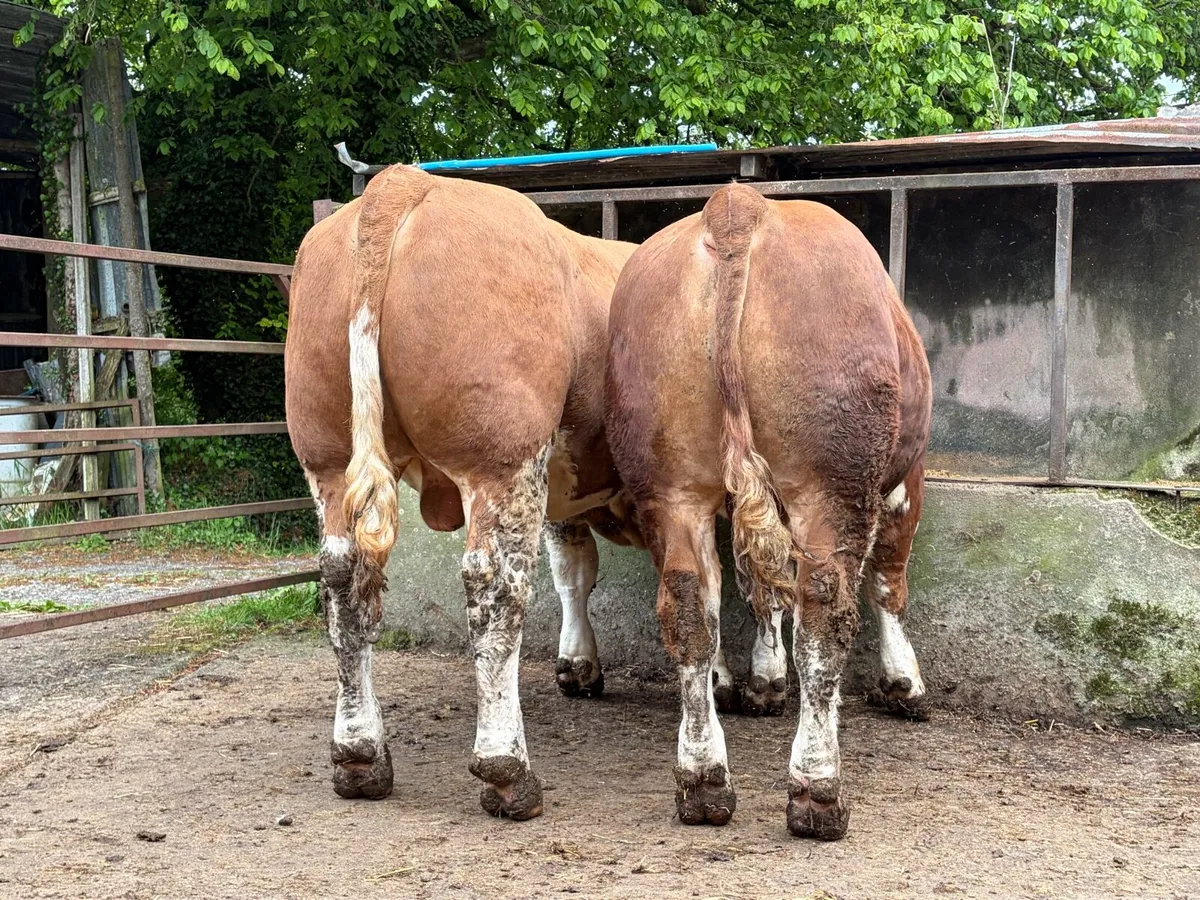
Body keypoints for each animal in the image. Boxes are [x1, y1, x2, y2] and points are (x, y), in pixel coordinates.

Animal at [285, 164, 641, 820]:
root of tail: (404, 183)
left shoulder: (563, 489)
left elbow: (574, 570)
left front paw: (579, 665)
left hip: (326, 457)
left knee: (342, 584)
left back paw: (360, 756)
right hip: (502, 457)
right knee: (495, 590)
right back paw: (507, 769)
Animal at [605, 182, 932, 840]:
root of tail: (737, 207)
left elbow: (762, 590)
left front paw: (763, 680)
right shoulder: (902, 483)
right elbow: (888, 583)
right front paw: (903, 682)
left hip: (669, 486)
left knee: (689, 611)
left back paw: (703, 778)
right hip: (833, 483)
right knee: (826, 615)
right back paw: (817, 789)